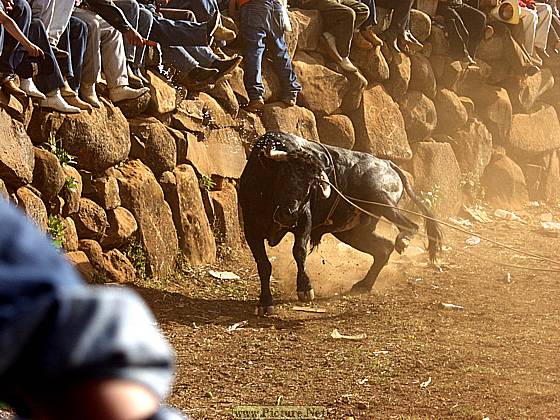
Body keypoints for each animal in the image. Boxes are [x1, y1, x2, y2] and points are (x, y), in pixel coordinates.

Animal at [237, 132, 442, 316]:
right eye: (284, 175)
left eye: (311, 184)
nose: (288, 215)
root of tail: (387, 163)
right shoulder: (251, 230)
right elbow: (264, 265)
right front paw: (265, 302)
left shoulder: (304, 220)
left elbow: (299, 251)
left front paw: (305, 289)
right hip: (354, 231)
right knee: (383, 249)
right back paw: (363, 285)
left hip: (380, 199)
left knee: (410, 226)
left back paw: (403, 240)